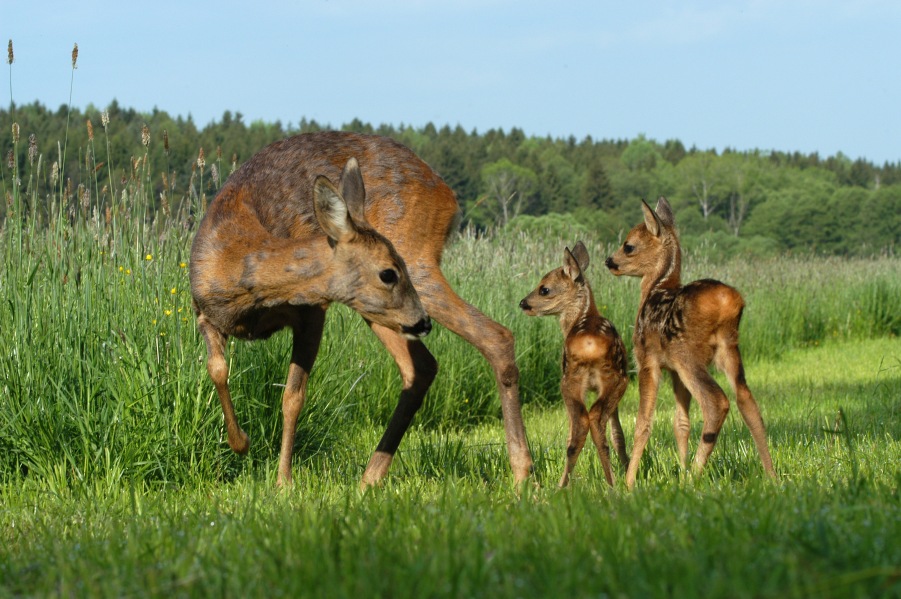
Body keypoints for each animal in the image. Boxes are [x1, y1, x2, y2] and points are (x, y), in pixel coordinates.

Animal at [190, 131, 533, 487]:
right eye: (388, 273)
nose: (424, 323)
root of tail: (447, 194)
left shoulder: (313, 311)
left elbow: (292, 397)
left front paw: (283, 480)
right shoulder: (202, 310)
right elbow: (217, 369)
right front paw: (240, 443)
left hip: (415, 263)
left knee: (495, 336)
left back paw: (522, 472)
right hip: (383, 310)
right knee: (422, 367)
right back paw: (370, 477)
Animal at [519, 242, 630, 487]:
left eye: (544, 289)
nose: (523, 303)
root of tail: (588, 343)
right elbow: (618, 433)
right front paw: (628, 467)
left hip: (574, 378)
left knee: (582, 424)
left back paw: (568, 485)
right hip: (608, 378)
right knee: (591, 420)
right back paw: (609, 483)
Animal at [604, 197, 777, 489]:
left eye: (628, 245)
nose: (609, 261)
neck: (655, 289)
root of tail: (728, 301)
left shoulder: (647, 360)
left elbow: (643, 422)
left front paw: (629, 482)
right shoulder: (674, 371)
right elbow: (680, 423)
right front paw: (681, 467)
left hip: (688, 354)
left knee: (717, 401)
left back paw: (694, 476)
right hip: (729, 349)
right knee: (747, 401)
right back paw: (771, 475)